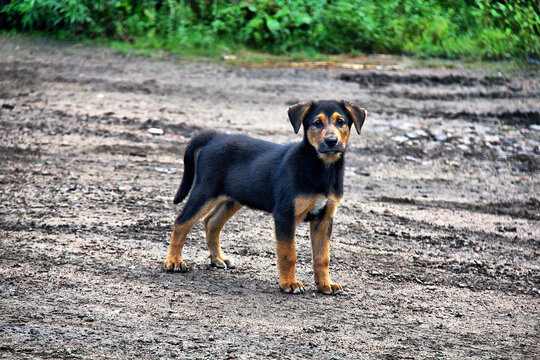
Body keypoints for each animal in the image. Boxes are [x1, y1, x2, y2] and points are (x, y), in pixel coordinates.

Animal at [165, 99, 368, 296]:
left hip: (233, 198)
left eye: (341, 122)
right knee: (181, 222)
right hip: (205, 191)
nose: (331, 141)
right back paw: (174, 262)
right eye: (317, 123)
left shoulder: (325, 218)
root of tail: (215, 137)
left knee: (211, 222)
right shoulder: (285, 214)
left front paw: (326, 284)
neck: (322, 168)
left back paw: (218, 259)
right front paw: (289, 284)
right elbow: (288, 254)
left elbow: (322, 257)